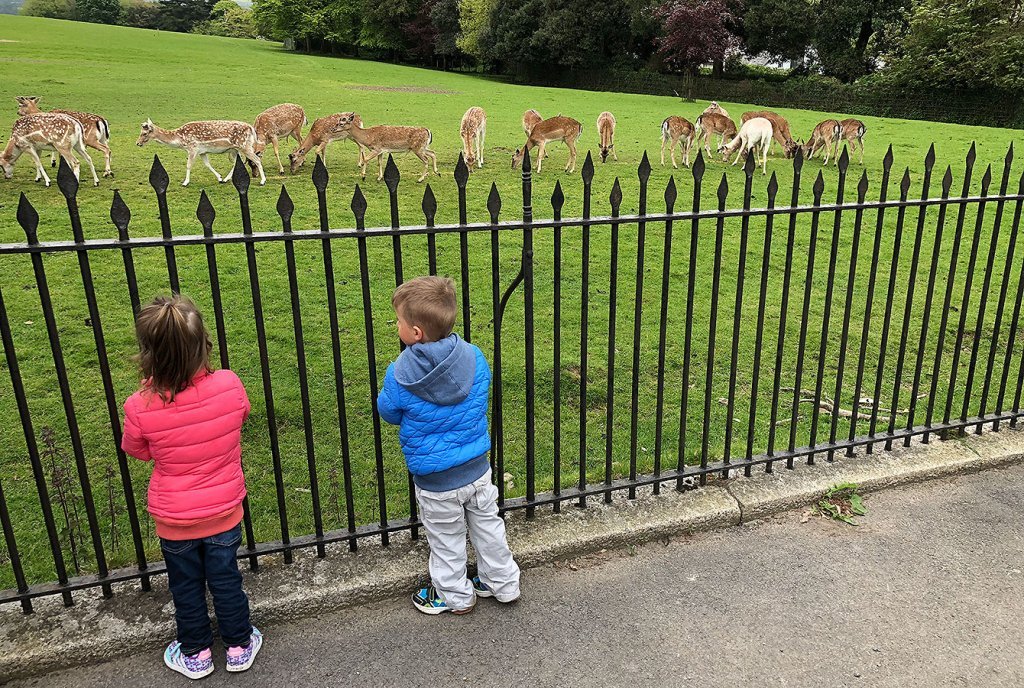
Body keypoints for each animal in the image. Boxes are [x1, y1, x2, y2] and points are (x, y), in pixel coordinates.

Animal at [136, 118, 266, 187]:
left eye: (144, 133)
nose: (137, 143)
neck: (180, 139)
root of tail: (251, 128)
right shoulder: (202, 151)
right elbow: (207, 164)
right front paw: (219, 177)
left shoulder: (192, 148)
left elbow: (188, 165)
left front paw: (185, 182)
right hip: (235, 149)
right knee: (237, 163)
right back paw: (225, 179)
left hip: (244, 146)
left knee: (257, 159)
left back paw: (263, 181)